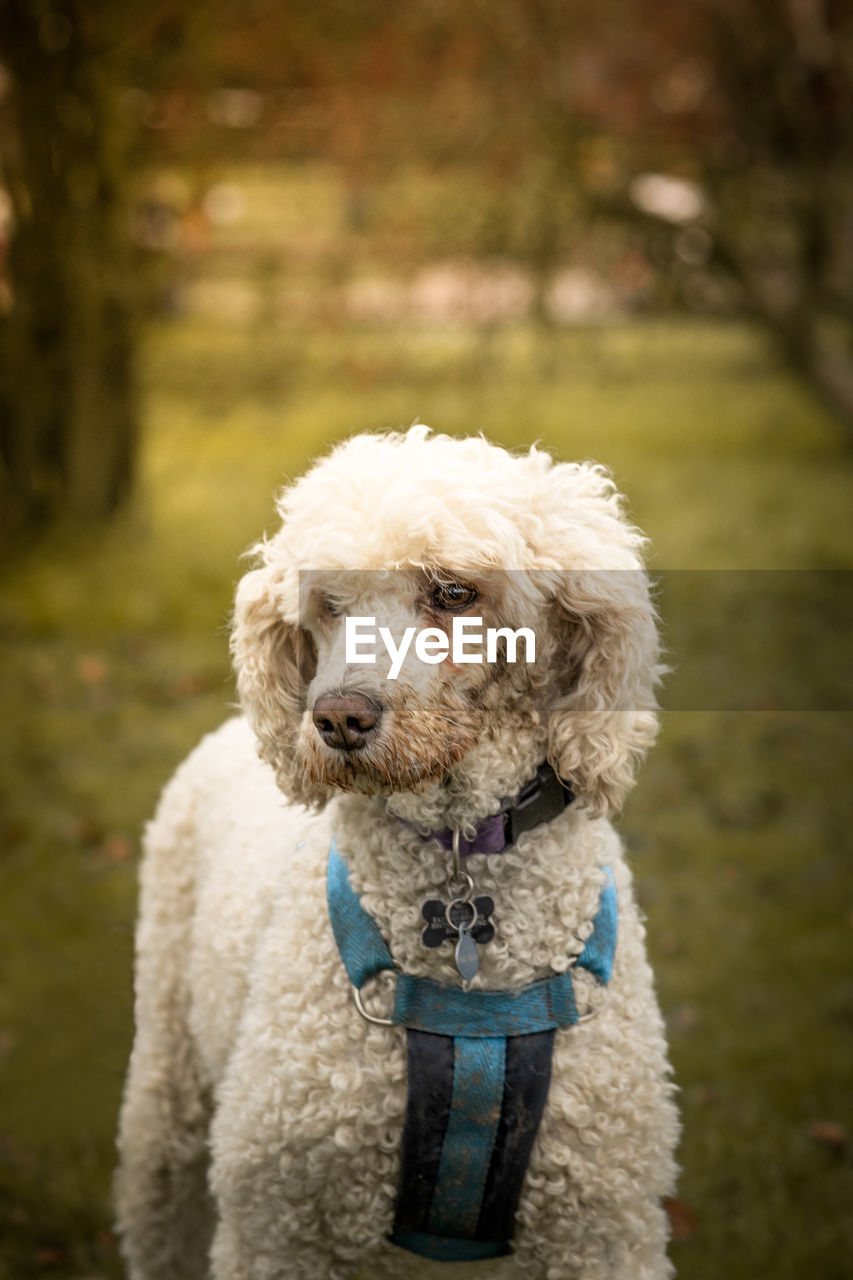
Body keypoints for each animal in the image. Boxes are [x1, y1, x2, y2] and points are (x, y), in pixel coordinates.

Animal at [117, 424, 676, 1274]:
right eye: (328, 606)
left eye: (453, 593)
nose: (336, 719)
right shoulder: (280, 1225)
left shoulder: (599, 1227)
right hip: (166, 1099)